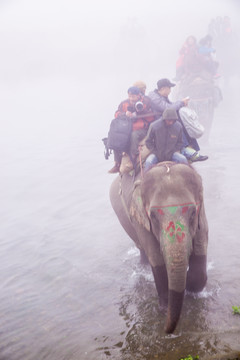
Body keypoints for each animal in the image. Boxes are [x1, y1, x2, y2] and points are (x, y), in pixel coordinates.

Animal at [109, 162, 208, 334]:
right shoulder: (141, 220)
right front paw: (164, 308)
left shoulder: (202, 215)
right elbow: (156, 259)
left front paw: (190, 287)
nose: (166, 331)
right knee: (142, 249)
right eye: (153, 216)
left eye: (192, 213)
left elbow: (200, 255)